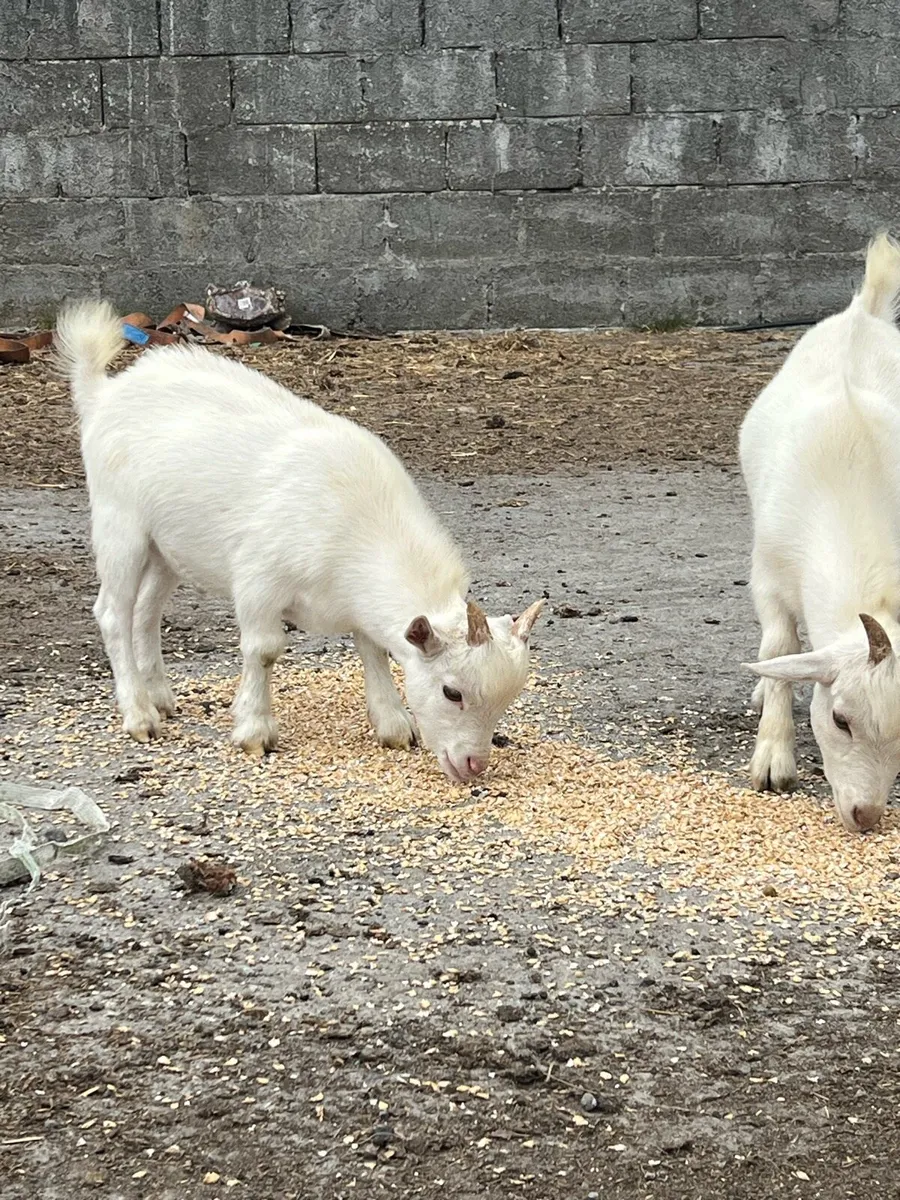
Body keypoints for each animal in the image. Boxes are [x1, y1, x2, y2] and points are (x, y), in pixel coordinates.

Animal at [55, 301, 543, 783]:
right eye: (451, 692)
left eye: (506, 700)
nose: (473, 765)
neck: (358, 524)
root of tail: (104, 392)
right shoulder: (258, 582)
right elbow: (264, 650)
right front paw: (254, 731)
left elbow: (373, 650)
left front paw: (393, 726)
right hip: (120, 524)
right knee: (113, 612)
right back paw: (139, 715)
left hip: (169, 549)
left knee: (146, 611)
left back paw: (159, 696)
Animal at [740, 233, 900, 832]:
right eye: (840, 718)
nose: (865, 813)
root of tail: (864, 314)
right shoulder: (768, 572)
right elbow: (781, 644)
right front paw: (773, 759)